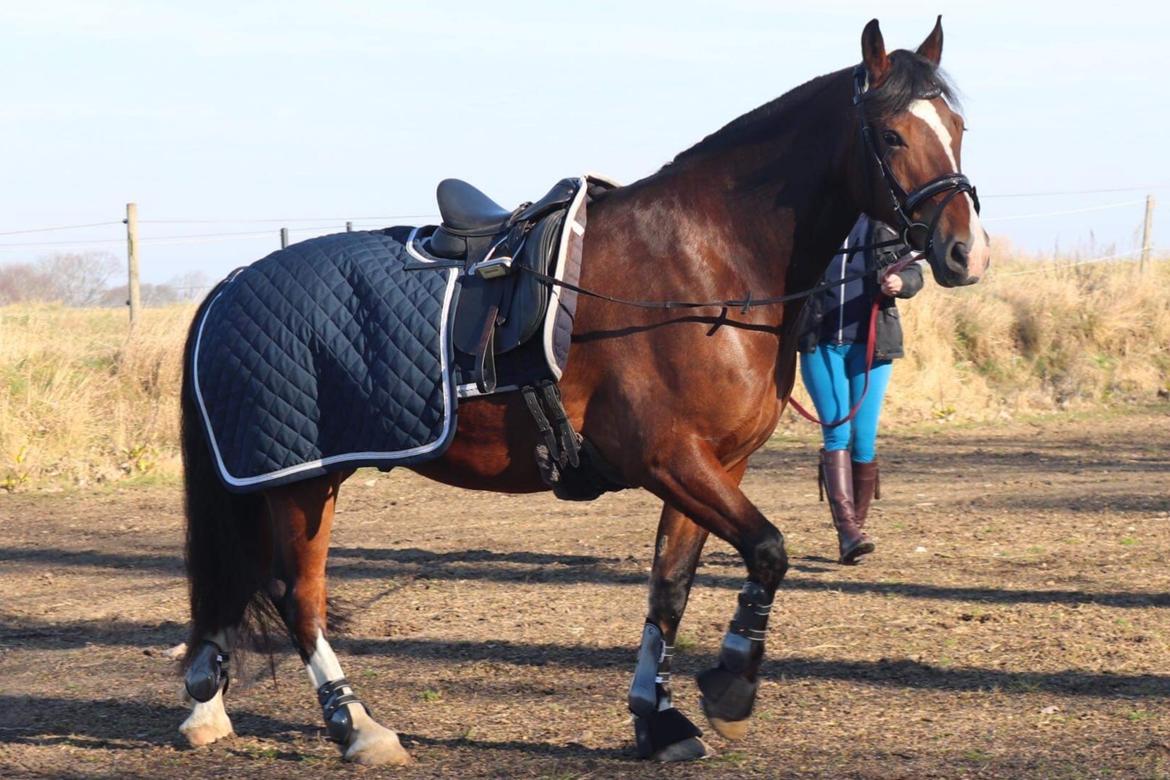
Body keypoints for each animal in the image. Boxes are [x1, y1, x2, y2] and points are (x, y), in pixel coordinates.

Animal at [177, 16, 987, 762]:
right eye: (888, 135)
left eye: (956, 127)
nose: (964, 253)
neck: (706, 263)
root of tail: (232, 283)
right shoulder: (669, 459)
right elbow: (768, 550)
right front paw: (731, 684)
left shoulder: (715, 468)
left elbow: (671, 588)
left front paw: (658, 716)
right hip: (298, 478)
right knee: (297, 596)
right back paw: (355, 724)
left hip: (288, 479)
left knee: (244, 582)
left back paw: (206, 701)